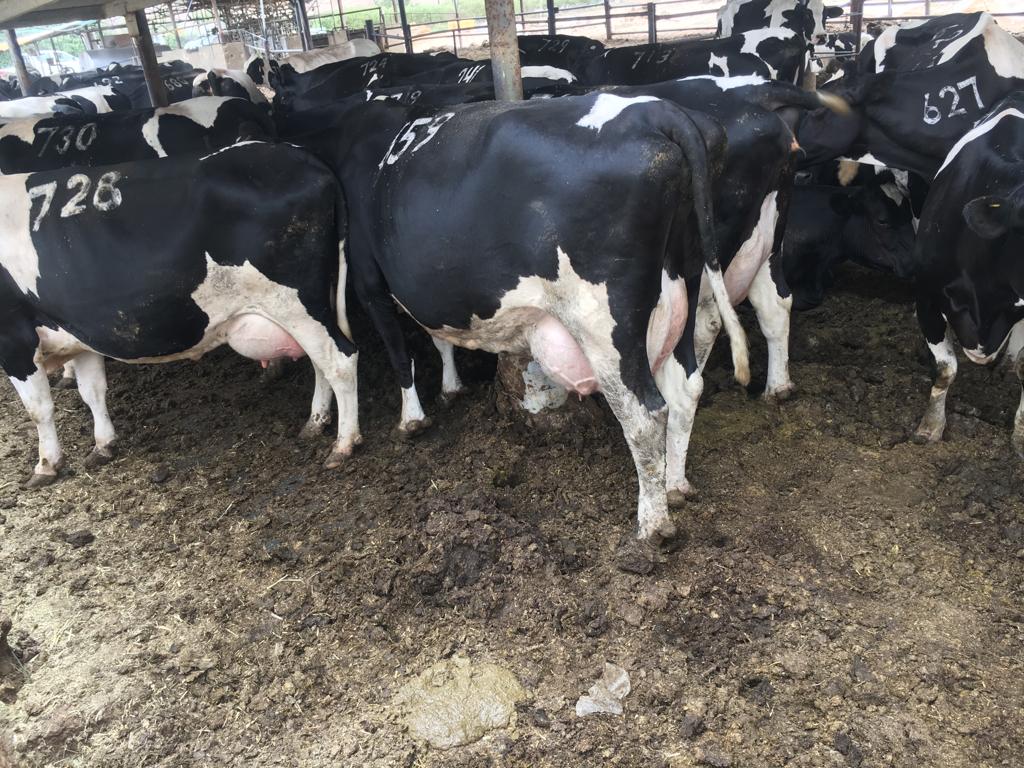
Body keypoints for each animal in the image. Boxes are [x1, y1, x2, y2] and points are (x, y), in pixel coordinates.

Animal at [0, 141, 360, 487]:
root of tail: (304, 158)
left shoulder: (14, 337)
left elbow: (39, 409)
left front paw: (46, 465)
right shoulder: (77, 331)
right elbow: (92, 392)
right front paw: (103, 446)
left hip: (295, 302)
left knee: (341, 361)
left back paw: (343, 444)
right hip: (311, 305)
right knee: (320, 362)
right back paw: (315, 423)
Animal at [294, 94, 745, 540]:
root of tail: (657, 110)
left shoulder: (369, 281)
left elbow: (397, 352)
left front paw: (410, 421)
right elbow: (437, 336)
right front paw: (450, 387)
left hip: (605, 322)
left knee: (646, 415)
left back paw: (653, 525)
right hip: (686, 287)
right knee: (686, 388)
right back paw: (675, 486)